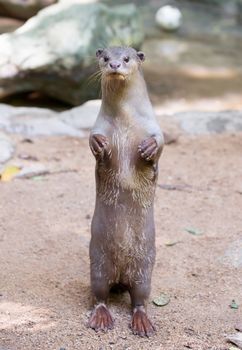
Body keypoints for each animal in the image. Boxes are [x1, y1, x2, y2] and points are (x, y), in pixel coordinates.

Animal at [88, 46, 164, 336]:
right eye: (105, 56)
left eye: (127, 58)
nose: (115, 65)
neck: (126, 124)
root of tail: (121, 275)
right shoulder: (98, 125)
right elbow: (92, 138)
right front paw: (99, 144)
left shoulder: (154, 127)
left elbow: (160, 142)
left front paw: (149, 149)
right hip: (97, 262)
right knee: (100, 295)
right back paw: (101, 317)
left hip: (144, 268)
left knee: (140, 299)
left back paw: (142, 322)